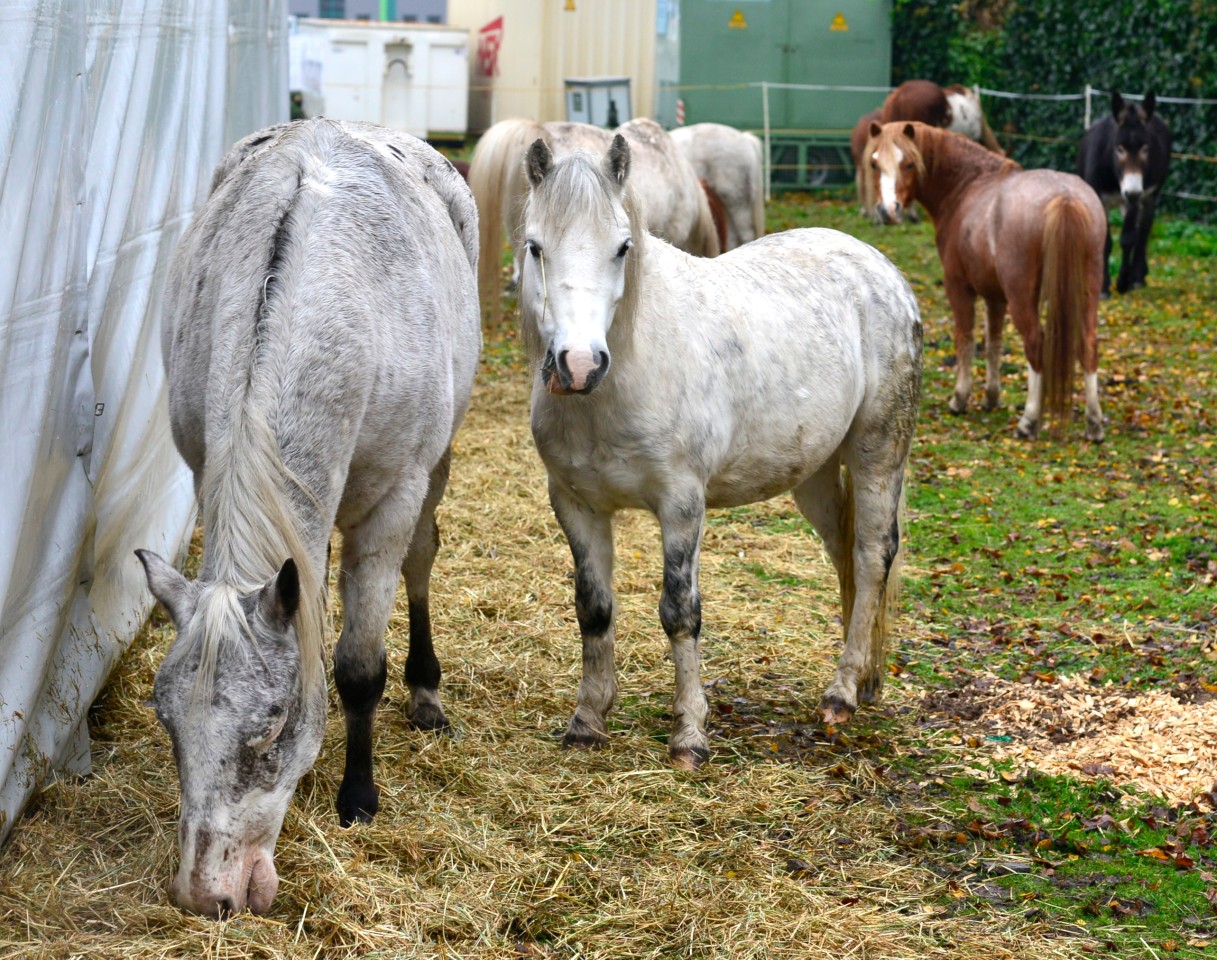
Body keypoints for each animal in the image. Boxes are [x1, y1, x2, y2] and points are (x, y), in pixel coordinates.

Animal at [138, 118, 479, 914]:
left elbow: (357, 665)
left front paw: (358, 796)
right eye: (167, 725)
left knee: (422, 558)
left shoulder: (392, 502)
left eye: (271, 730)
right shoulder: (207, 470)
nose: (206, 895)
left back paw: (425, 690)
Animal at [516, 135, 920, 768]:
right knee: (846, 554)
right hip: (815, 475)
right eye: (536, 247)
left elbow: (679, 613)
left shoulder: (682, 506)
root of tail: (882, 270)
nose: (579, 365)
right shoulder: (576, 506)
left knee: (873, 555)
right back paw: (868, 679)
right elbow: (594, 609)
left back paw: (843, 693)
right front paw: (587, 720)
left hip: (878, 452)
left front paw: (689, 735)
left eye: (622, 247)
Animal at [866, 118, 1114, 442]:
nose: (888, 211)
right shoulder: (995, 296)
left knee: (1035, 343)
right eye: (874, 164)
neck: (968, 186)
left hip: (1023, 298)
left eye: (908, 163)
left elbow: (966, 339)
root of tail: (1065, 197)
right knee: (1089, 345)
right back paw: (1093, 422)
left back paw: (1029, 420)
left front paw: (960, 398)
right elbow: (993, 341)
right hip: (1088, 292)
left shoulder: (959, 288)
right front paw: (991, 397)